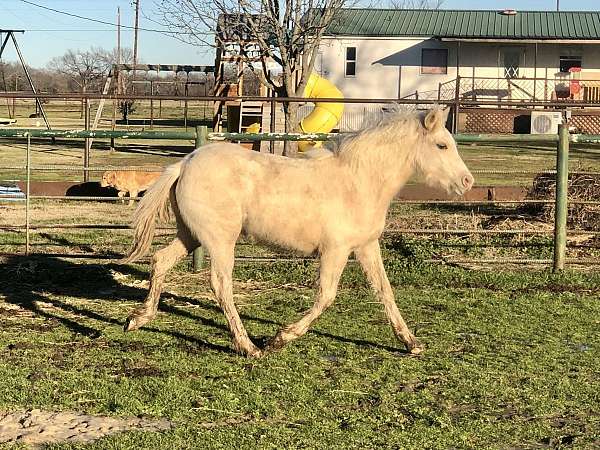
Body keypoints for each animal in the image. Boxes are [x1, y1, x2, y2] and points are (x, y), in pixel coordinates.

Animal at [123, 107, 474, 356]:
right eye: (442, 145)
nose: (467, 181)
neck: (359, 181)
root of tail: (185, 164)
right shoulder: (336, 250)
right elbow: (326, 296)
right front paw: (280, 338)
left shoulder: (366, 246)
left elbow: (384, 291)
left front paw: (411, 343)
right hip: (220, 240)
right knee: (221, 285)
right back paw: (249, 347)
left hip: (190, 235)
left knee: (160, 260)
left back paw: (138, 319)